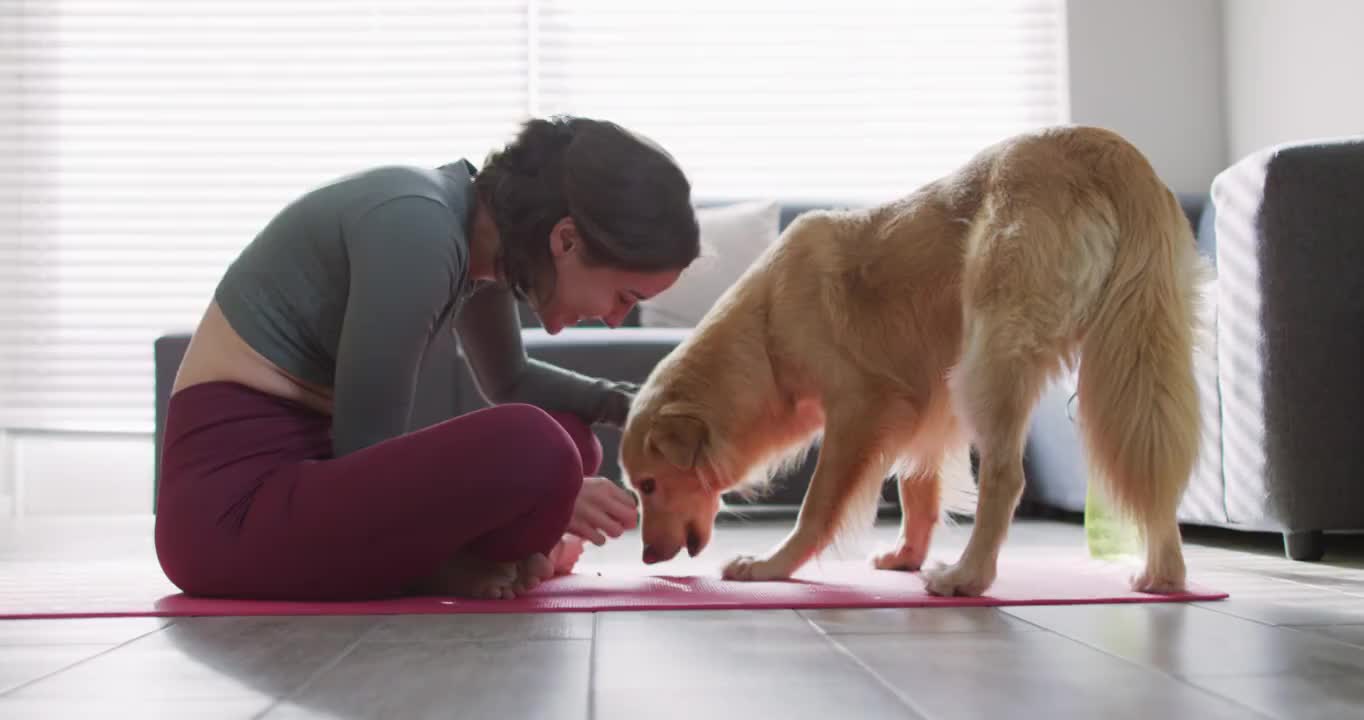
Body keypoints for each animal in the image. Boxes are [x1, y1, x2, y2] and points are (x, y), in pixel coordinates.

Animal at [619, 125, 1205, 597]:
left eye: (648, 485)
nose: (646, 557)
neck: (766, 333)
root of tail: (1100, 148)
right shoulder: (928, 403)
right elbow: (916, 487)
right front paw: (906, 556)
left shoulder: (860, 409)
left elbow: (817, 505)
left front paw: (771, 566)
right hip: (1141, 352)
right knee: (1158, 462)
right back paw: (1163, 574)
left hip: (991, 361)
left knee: (1005, 476)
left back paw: (967, 576)